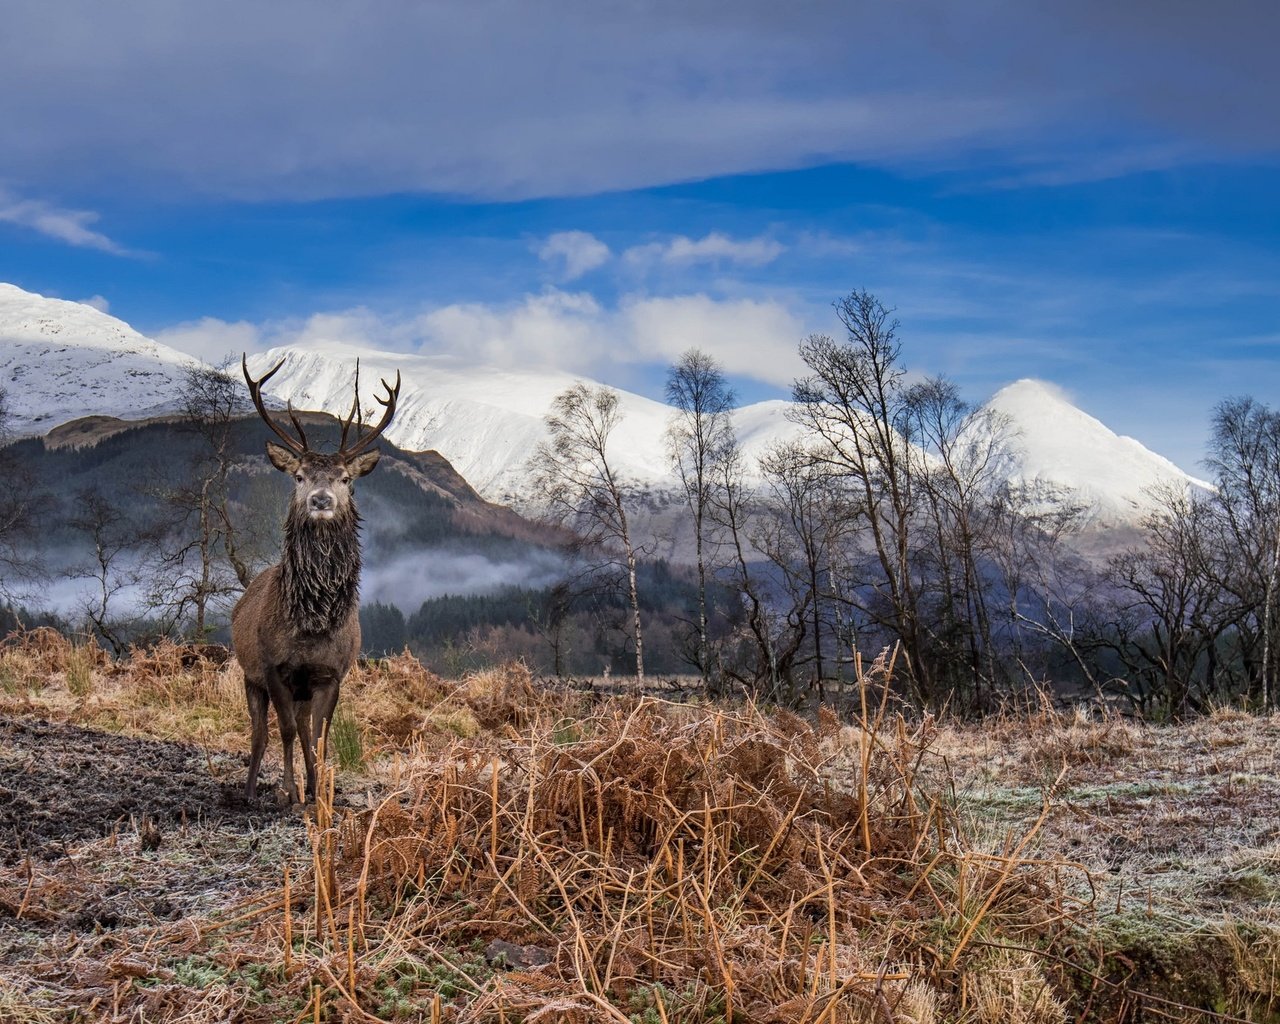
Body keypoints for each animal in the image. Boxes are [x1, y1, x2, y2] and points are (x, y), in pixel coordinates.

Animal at [232, 355, 396, 803]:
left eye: (345, 478)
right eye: (299, 476)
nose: (320, 500)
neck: (313, 624)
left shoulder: (331, 673)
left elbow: (319, 736)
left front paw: (319, 790)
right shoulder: (273, 668)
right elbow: (286, 731)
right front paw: (289, 792)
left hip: (303, 688)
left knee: (305, 729)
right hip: (249, 674)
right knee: (260, 733)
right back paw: (250, 790)